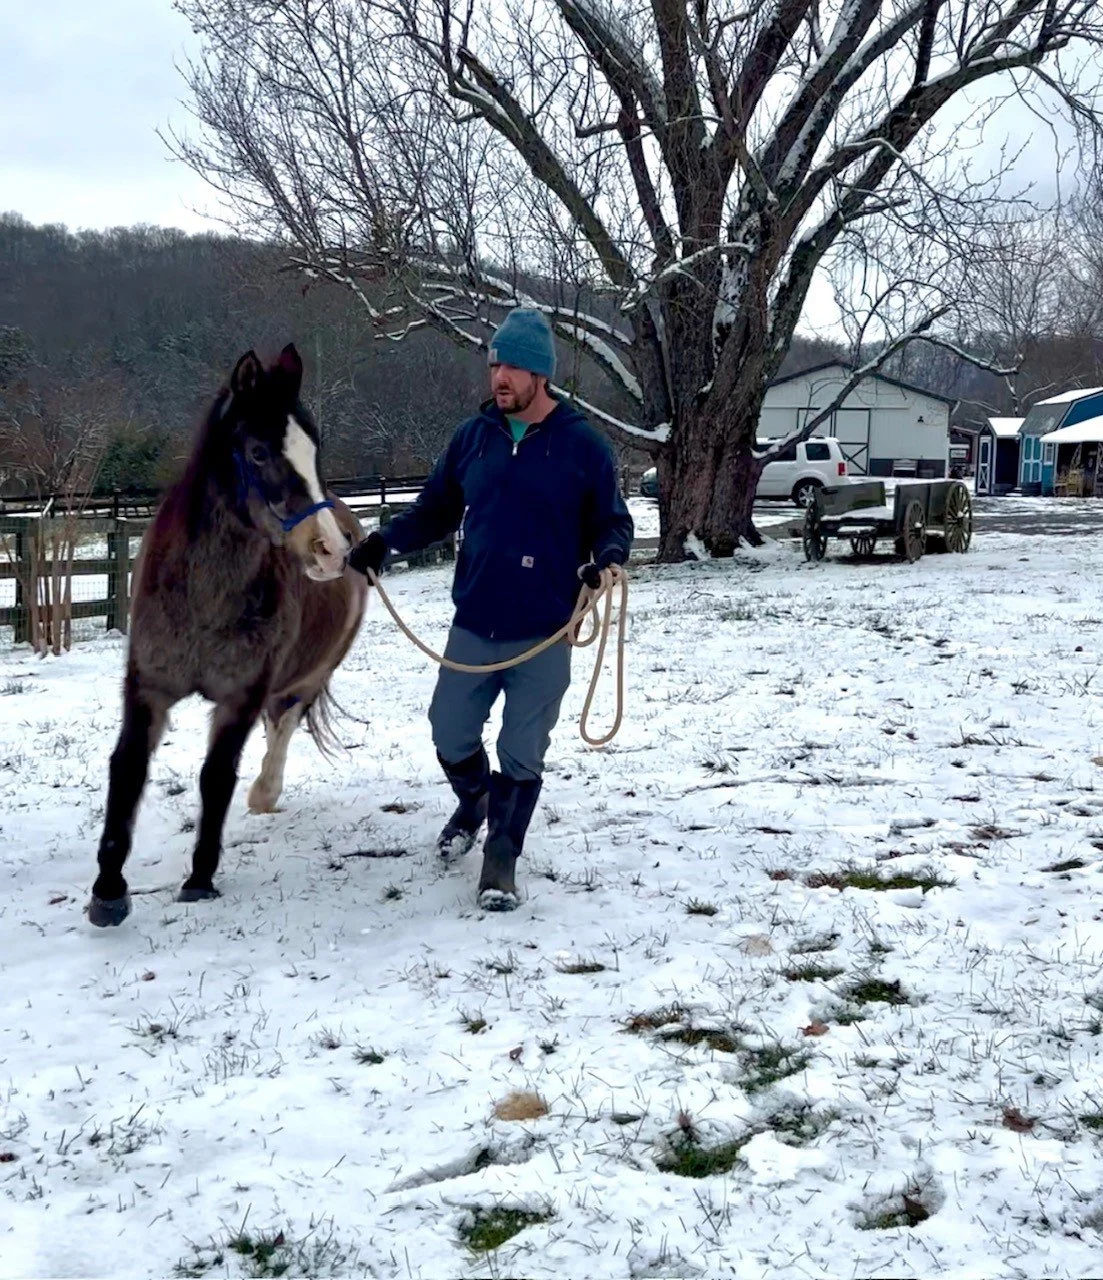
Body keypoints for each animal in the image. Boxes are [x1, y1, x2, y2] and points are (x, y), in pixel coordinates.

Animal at [88, 344, 368, 927]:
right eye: (258, 452)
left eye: (314, 450)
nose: (332, 549)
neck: (204, 597)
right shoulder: (147, 688)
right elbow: (127, 771)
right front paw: (108, 891)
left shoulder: (241, 695)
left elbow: (216, 777)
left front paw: (199, 879)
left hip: (312, 672)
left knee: (285, 722)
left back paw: (266, 790)